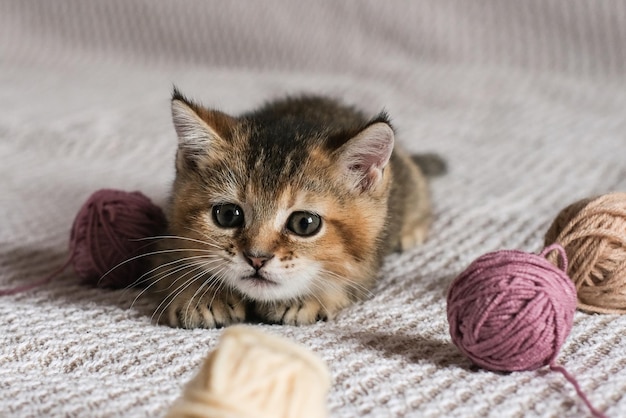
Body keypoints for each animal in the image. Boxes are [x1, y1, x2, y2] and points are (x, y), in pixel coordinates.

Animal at [147, 90, 438, 328]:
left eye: (304, 223)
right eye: (228, 215)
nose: (256, 258)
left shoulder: (367, 266)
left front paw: (309, 297)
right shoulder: (167, 237)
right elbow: (172, 265)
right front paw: (202, 294)